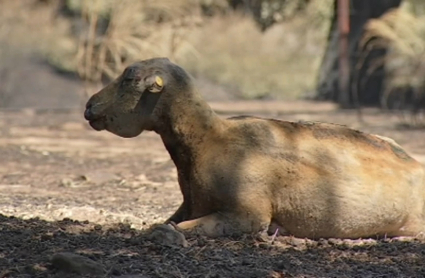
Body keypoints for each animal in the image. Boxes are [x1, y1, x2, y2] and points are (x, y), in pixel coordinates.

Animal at [84, 57, 424, 240]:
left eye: (130, 79)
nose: (89, 106)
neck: (206, 140)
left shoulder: (248, 214)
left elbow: (185, 226)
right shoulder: (190, 203)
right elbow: (171, 220)